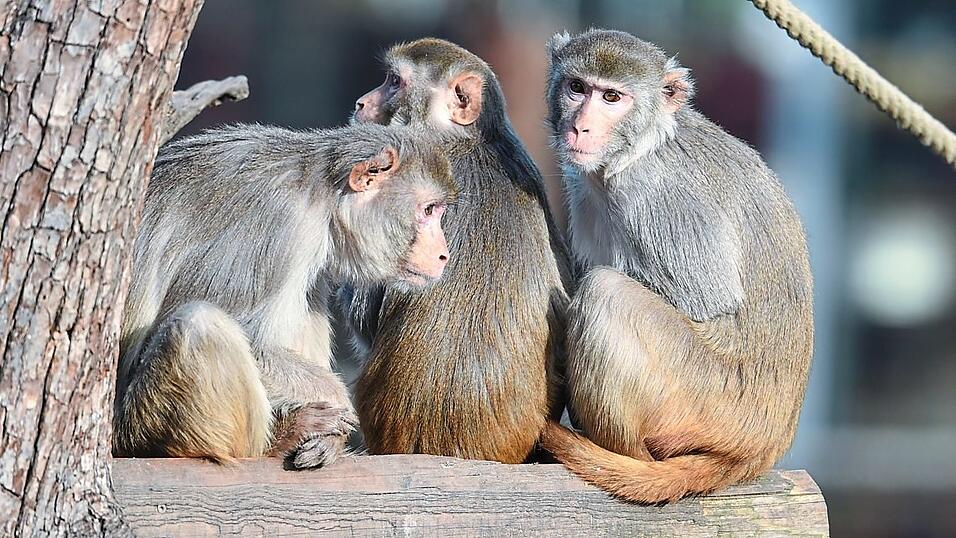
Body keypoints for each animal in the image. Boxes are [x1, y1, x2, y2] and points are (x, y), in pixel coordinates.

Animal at [113, 123, 456, 469]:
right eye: (428, 210)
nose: (444, 254)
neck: (320, 193)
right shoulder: (278, 225)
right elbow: (251, 341)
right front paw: (339, 402)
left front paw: (332, 439)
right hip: (140, 424)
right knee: (198, 323)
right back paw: (275, 443)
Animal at [538, 29, 814, 503]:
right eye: (577, 87)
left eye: (612, 97)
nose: (580, 126)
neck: (638, 149)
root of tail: (763, 447)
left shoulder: (658, 195)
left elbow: (709, 303)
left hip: (705, 401)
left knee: (606, 292)